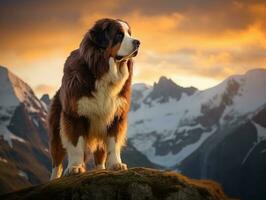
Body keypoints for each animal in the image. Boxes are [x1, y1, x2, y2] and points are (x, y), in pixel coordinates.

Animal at [48, 18, 139, 180]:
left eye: (129, 33)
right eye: (119, 35)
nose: (138, 42)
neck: (104, 70)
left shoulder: (116, 115)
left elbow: (113, 144)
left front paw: (116, 164)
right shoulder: (74, 115)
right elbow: (76, 145)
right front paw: (75, 167)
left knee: (100, 154)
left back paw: (100, 170)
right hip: (56, 130)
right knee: (56, 161)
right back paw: (53, 179)